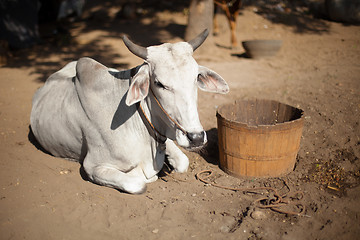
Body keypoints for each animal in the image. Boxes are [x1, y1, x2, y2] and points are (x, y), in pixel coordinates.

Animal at [29, 30, 229, 195]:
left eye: (195, 78)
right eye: (159, 83)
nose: (196, 137)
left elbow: (182, 163)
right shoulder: (93, 166)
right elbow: (138, 182)